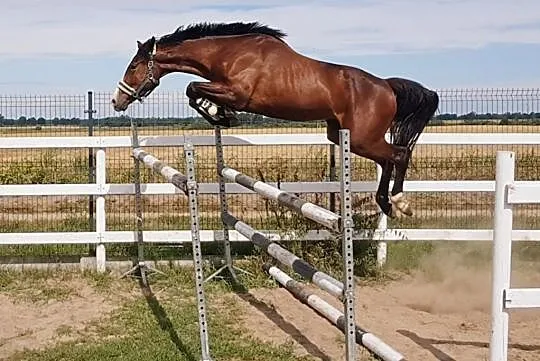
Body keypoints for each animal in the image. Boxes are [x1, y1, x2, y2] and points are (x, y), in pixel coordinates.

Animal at [113, 23, 438, 219]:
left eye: (134, 65)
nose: (118, 101)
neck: (227, 52)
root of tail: (387, 86)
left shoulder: (238, 92)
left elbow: (192, 88)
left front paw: (222, 116)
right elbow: (193, 90)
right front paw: (220, 115)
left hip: (361, 138)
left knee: (399, 154)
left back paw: (399, 201)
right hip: (342, 135)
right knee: (388, 158)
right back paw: (385, 203)